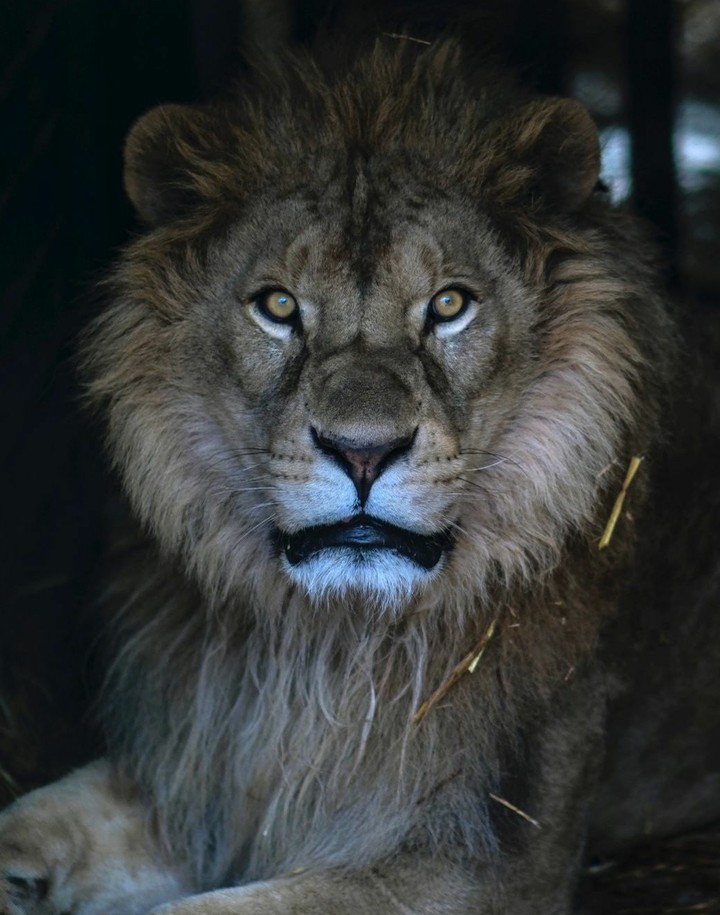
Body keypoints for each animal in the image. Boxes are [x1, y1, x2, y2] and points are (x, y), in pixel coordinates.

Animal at [1, 38, 719, 915]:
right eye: (278, 306)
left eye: (449, 305)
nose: (364, 452)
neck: (329, 647)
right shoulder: (202, 771)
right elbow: (39, 816)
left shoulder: (480, 863)